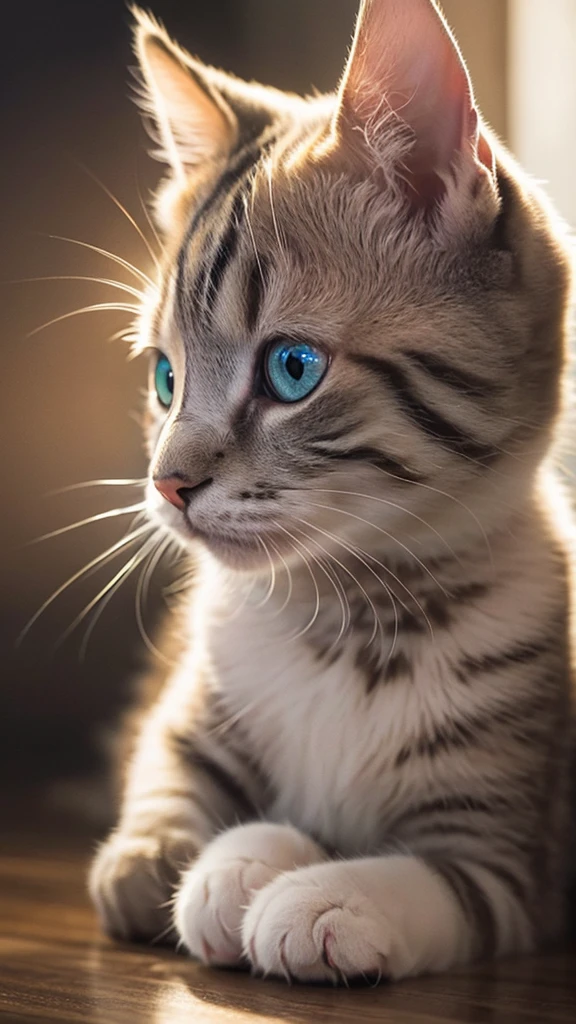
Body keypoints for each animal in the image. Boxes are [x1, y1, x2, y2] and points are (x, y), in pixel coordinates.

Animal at [87, 0, 569, 983]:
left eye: (293, 368)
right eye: (165, 378)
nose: (167, 482)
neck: (348, 613)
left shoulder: (512, 855)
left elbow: (439, 883)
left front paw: (324, 895)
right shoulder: (182, 714)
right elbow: (159, 798)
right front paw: (214, 862)